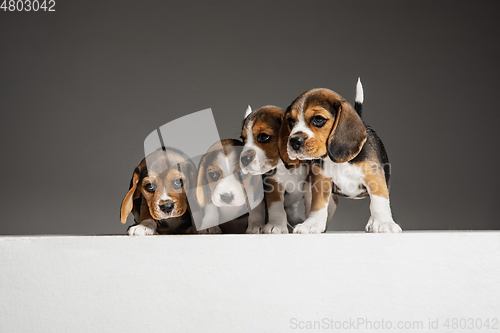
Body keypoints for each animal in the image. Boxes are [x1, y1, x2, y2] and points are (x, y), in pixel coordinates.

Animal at [282, 79, 402, 232]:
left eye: (318, 119)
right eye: (290, 121)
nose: (294, 142)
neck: (336, 160)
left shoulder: (375, 177)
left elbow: (379, 200)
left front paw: (383, 223)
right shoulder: (321, 181)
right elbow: (318, 204)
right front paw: (312, 224)